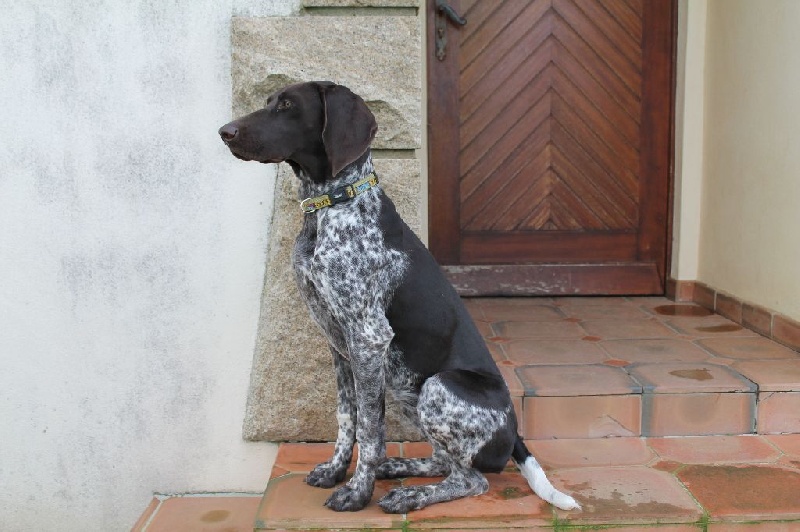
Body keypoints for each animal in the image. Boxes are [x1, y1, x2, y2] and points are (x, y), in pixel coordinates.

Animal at [219, 81, 580, 513]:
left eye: (288, 105)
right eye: (269, 101)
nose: (224, 132)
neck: (333, 205)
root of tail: (513, 431)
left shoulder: (368, 337)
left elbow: (369, 431)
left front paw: (357, 492)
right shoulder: (341, 346)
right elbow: (346, 419)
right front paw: (336, 471)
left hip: (437, 386)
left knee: (472, 480)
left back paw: (409, 494)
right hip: (408, 387)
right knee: (443, 460)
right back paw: (398, 469)